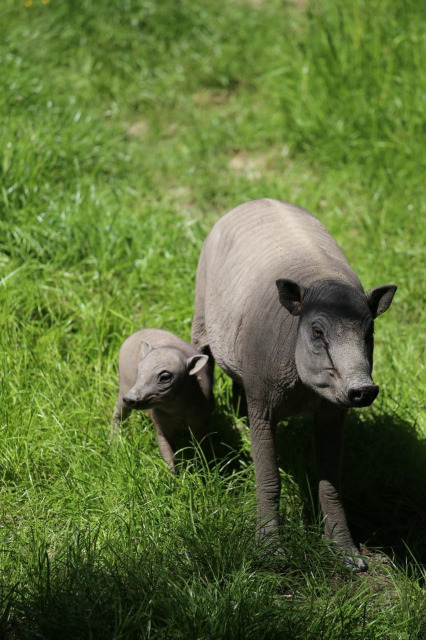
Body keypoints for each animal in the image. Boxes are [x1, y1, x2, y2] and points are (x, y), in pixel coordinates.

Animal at [112, 328, 214, 472]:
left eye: (165, 377)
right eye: (139, 370)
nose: (130, 399)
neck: (175, 407)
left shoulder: (200, 421)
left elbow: (202, 448)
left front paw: (203, 471)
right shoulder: (160, 424)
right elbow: (167, 453)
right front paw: (172, 476)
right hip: (125, 385)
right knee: (119, 413)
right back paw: (114, 441)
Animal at [192, 198, 397, 570]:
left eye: (369, 331)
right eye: (317, 332)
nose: (364, 389)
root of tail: (253, 200)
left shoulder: (334, 411)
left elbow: (331, 484)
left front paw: (348, 555)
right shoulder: (262, 401)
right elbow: (268, 479)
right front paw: (272, 553)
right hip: (201, 313)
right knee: (205, 358)